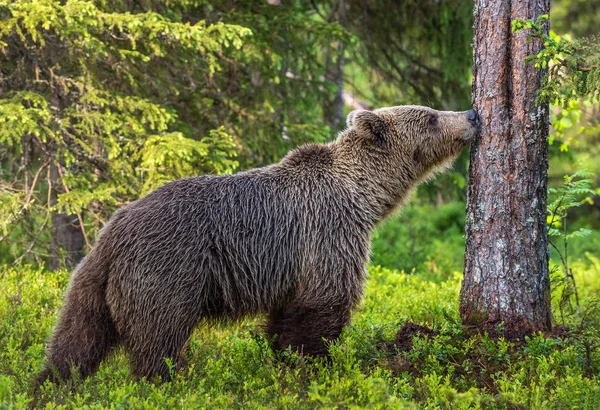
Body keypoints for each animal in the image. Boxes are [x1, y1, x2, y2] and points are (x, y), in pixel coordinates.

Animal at [38, 104, 478, 382]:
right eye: (432, 117)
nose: (472, 115)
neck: (365, 197)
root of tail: (114, 231)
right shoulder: (327, 233)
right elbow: (323, 306)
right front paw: (313, 366)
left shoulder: (294, 262)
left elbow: (286, 317)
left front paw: (283, 358)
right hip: (167, 271)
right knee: (156, 341)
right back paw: (164, 383)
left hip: (91, 281)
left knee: (75, 340)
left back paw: (52, 385)